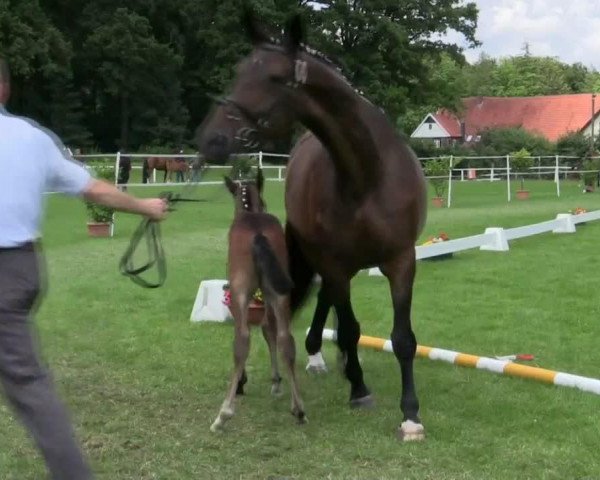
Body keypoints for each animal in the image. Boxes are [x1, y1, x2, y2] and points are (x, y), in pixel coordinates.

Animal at [210, 168, 304, 432]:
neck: (250, 214)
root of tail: (258, 234)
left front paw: (242, 382)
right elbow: (269, 330)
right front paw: (276, 382)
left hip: (241, 291)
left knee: (242, 340)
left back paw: (223, 414)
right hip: (280, 293)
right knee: (286, 340)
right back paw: (299, 409)